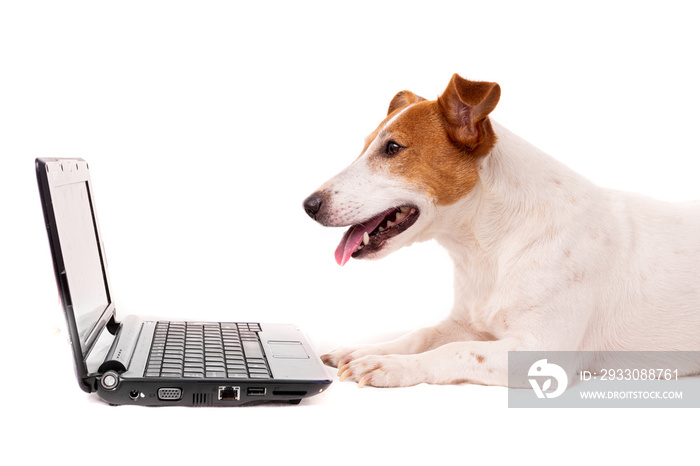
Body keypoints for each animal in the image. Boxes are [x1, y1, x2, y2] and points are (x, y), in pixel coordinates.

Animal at [304, 74, 700, 388]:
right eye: (365, 146)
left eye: (393, 148)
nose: (308, 205)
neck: (487, 249)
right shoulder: (466, 323)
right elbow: (423, 333)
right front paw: (366, 349)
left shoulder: (542, 349)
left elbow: (458, 351)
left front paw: (391, 365)